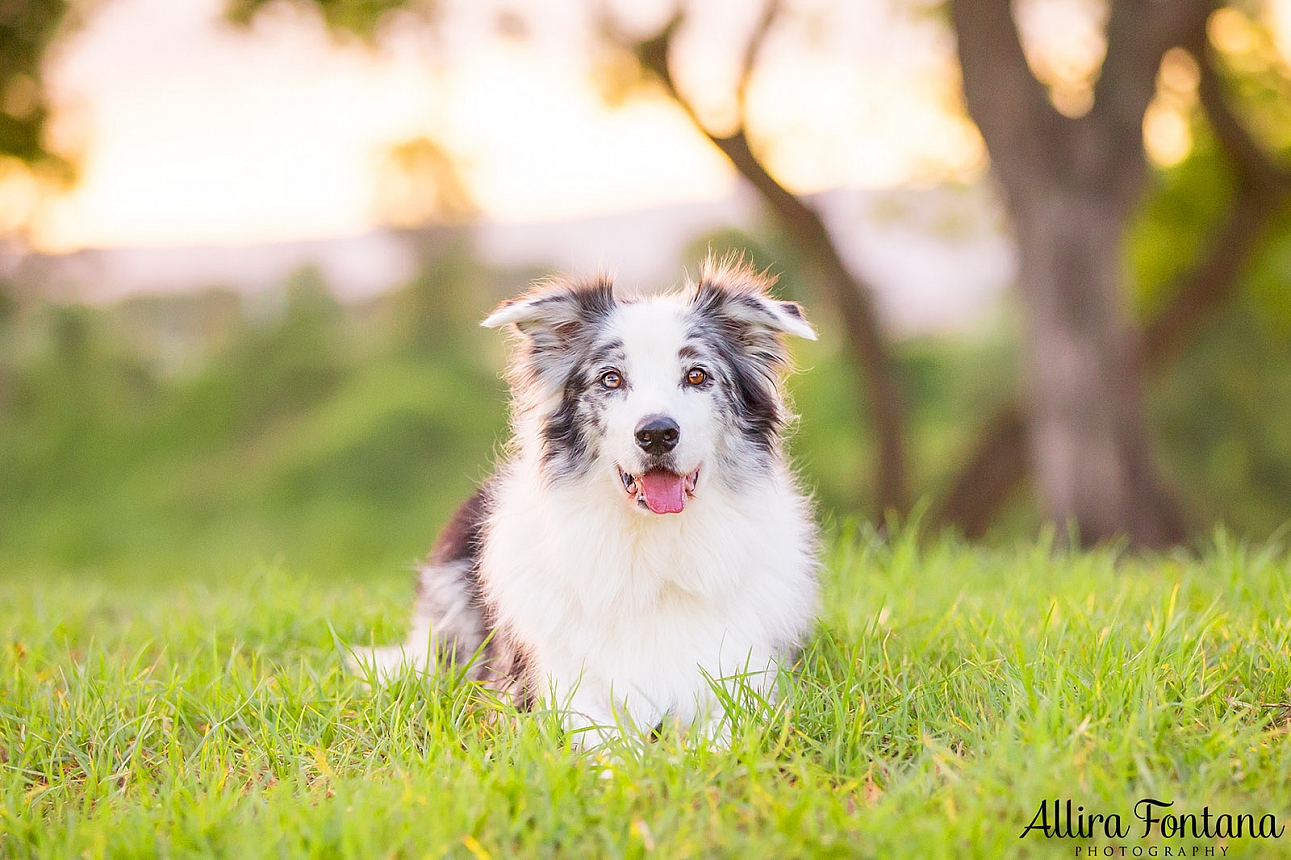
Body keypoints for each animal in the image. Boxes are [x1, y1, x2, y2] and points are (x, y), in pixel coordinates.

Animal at [353, 255, 815, 743]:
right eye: (611, 378)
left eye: (697, 375)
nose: (656, 434)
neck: (654, 548)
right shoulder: (552, 691)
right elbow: (607, 744)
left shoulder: (748, 681)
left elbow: (721, 739)